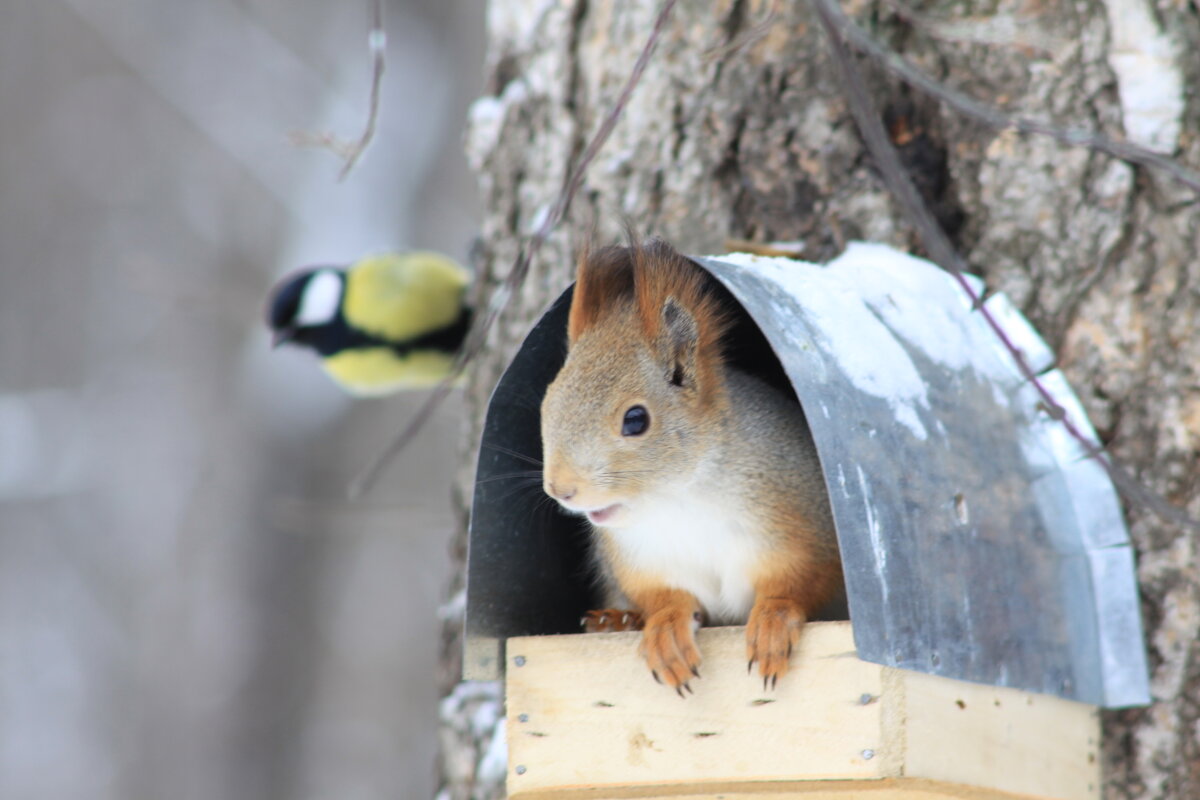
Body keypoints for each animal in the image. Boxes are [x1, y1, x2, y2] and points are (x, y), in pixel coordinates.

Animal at [544, 237, 844, 695]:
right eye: (546, 404)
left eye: (636, 420)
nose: (561, 489)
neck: (679, 500)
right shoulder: (646, 562)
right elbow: (666, 597)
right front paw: (667, 630)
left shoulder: (806, 533)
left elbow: (796, 586)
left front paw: (773, 620)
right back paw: (617, 619)